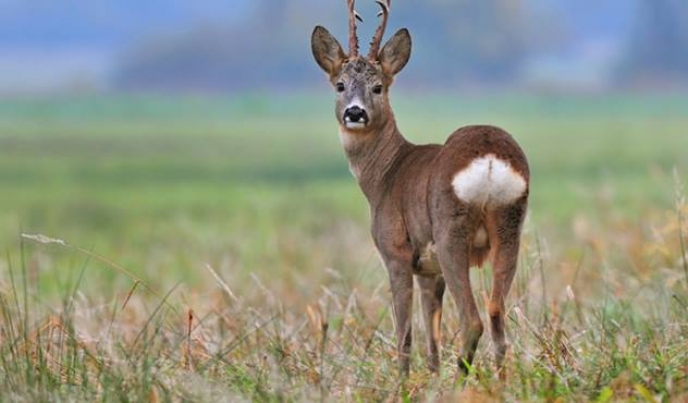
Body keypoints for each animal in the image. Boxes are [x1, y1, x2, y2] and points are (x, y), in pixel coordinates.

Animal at [310, 0, 528, 378]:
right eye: (339, 84)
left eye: (378, 87)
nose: (355, 113)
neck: (384, 176)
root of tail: (489, 159)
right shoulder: (429, 270)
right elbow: (432, 336)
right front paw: (432, 379)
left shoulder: (396, 252)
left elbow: (405, 334)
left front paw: (403, 382)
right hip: (509, 226)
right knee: (497, 315)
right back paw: (499, 383)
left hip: (451, 231)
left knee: (473, 320)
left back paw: (462, 382)